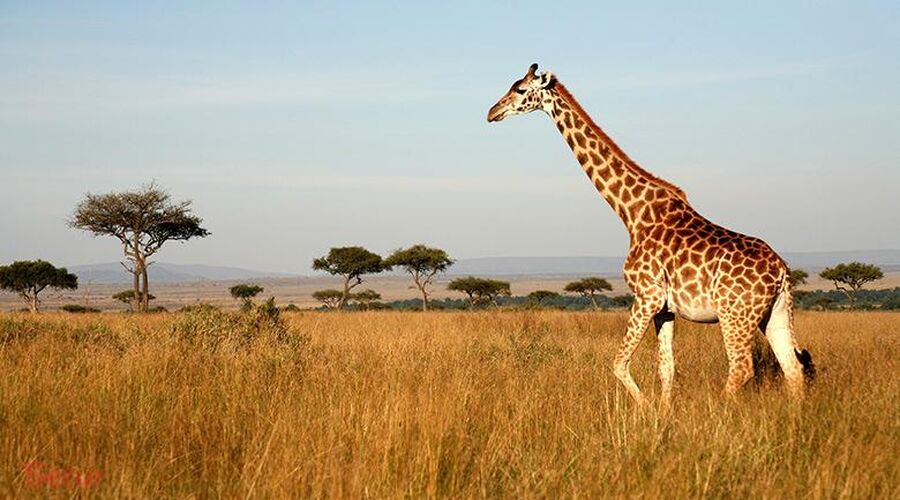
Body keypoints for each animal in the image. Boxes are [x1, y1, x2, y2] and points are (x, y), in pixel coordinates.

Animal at [488, 63, 812, 406]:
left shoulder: (647, 296)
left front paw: (644, 407)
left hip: (735, 314)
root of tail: (782, 271)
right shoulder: (666, 309)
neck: (632, 213)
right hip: (775, 312)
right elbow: (666, 368)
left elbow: (618, 363)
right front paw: (664, 411)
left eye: (520, 89)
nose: (492, 112)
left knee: (741, 367)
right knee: (792, 367)